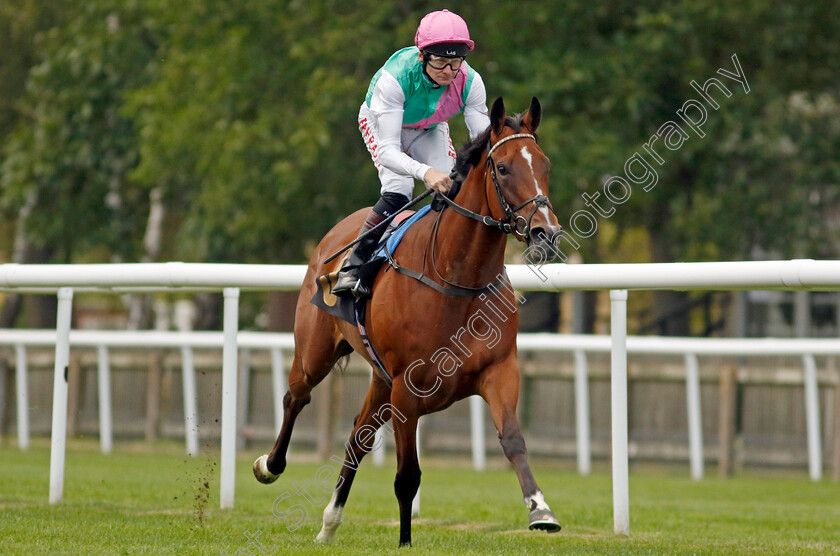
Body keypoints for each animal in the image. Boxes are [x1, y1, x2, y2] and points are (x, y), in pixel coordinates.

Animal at [253, 97, 560, 544]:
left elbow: (513, 440)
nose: (545, 233)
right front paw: (405, 542)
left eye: (545, 164)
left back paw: (329, 524)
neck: (457, 279)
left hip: (380, 381)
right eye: (503, 168)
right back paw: (269, 467)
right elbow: (406, 476)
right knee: (297, 397)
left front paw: (540, 509)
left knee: (356, 439)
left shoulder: (499, 370)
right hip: (316, 353)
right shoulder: (407, 387)